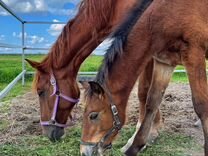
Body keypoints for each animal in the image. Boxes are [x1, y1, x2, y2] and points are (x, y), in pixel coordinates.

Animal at [80, 0, 208, 155]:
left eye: (93, 115)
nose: (84, 151)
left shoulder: (194, 55)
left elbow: (201, 106)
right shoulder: (164, 62)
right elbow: (152, 101)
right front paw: (135, 146)